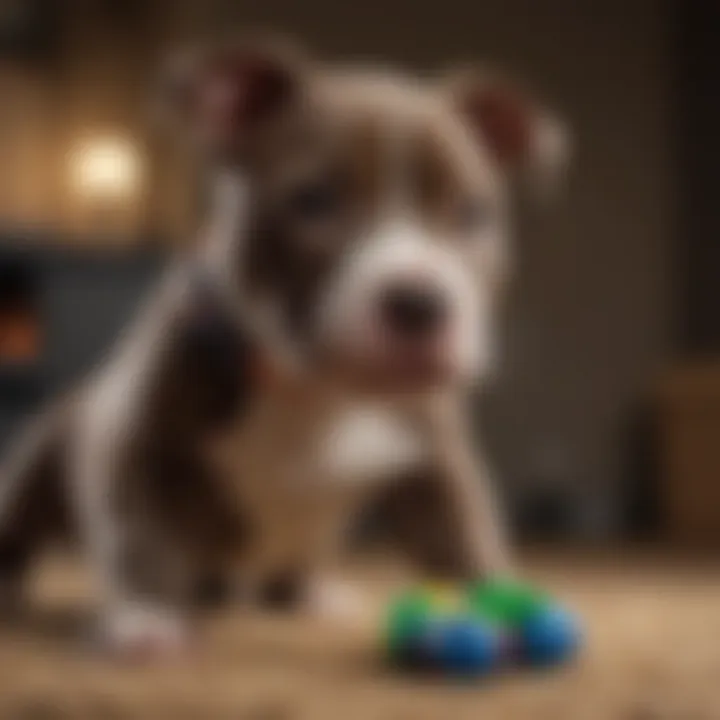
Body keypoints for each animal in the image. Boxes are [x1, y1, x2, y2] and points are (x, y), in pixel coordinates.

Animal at [0, 39, 564, 660]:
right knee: (22, 533)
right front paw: (146, 618)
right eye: (314, 201)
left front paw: (502, 603)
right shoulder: (142, 443)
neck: (313, 389)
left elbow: (464, 534)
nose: (419, 302)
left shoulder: (434, 460)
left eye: (473, 212)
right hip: (37, 465)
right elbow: (140, 532)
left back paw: (309, 594)